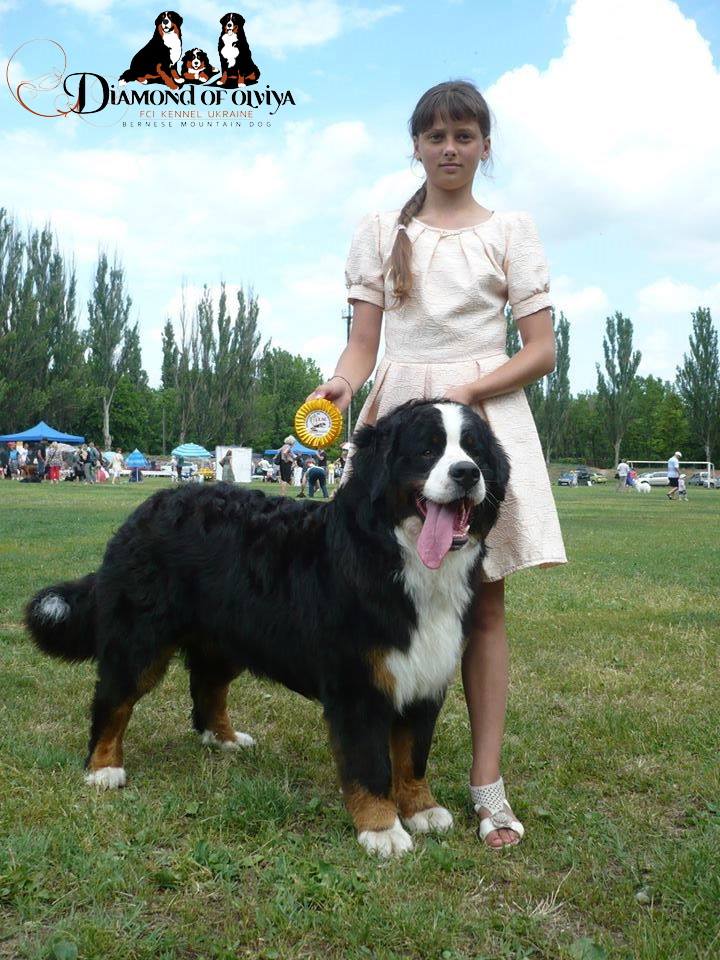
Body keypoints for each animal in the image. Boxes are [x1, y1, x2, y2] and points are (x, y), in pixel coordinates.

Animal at [28, 402, 510, 860]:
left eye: (475, 451)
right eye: (427, 450)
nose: (467, 473)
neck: (398, 557)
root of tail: (144, 510)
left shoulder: (427, 675)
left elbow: (412, 756)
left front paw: (421, 809)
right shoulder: (357, 686)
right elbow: (370, 765)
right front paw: (382, 829)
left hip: (224, 640)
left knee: (206, 689)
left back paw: (223, 739)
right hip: (140, 641)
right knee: (114, 700)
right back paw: (103, 767)